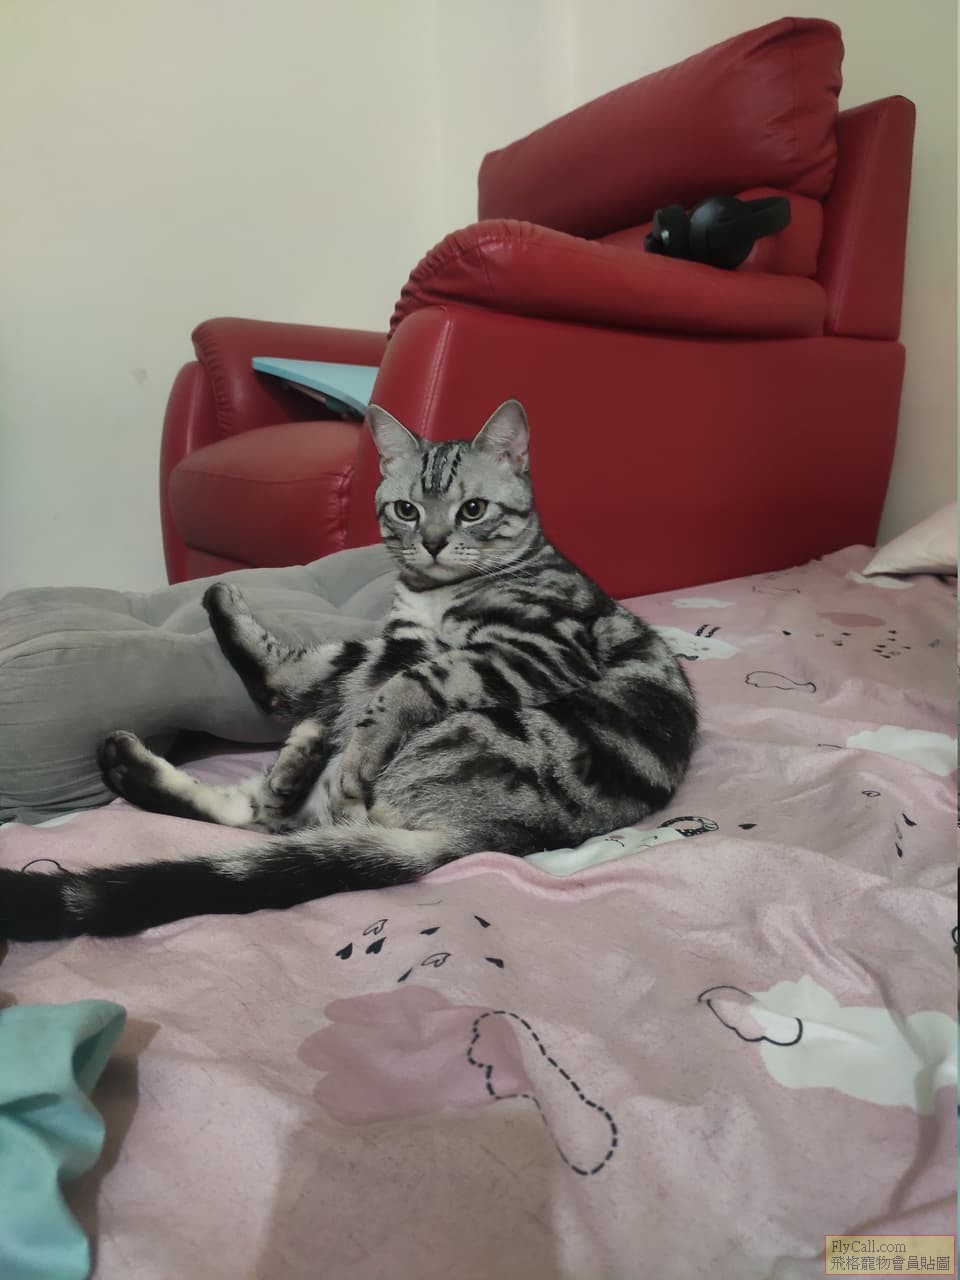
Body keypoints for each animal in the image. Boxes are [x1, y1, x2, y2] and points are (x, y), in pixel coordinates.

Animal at [0, 400, 697, 940]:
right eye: (407, 511)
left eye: (472, 510)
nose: (434, 543)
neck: (434, 595)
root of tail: (474, 837)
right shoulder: (407, 639)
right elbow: (343, 670)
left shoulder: (530, 648)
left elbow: (389, 686)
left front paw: (357, 740)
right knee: (269, 809)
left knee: (299, 803)